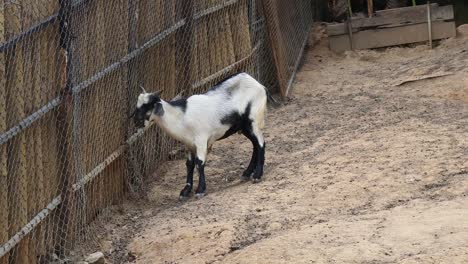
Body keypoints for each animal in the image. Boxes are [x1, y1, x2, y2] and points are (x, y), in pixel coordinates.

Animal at [133, 72, 268, 200]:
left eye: (149, 105)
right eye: (137, 105)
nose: (136, 122)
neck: (182, 117)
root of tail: (260, 85)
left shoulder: (201, 140)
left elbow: (200, 163)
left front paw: (200, 190)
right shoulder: (189, 144)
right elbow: (189, 164)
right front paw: (185, 191)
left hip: (253, 120)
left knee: (261, 143)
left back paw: (257, 175)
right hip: (244, 127)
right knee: (255, 145)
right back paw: (247, 173)